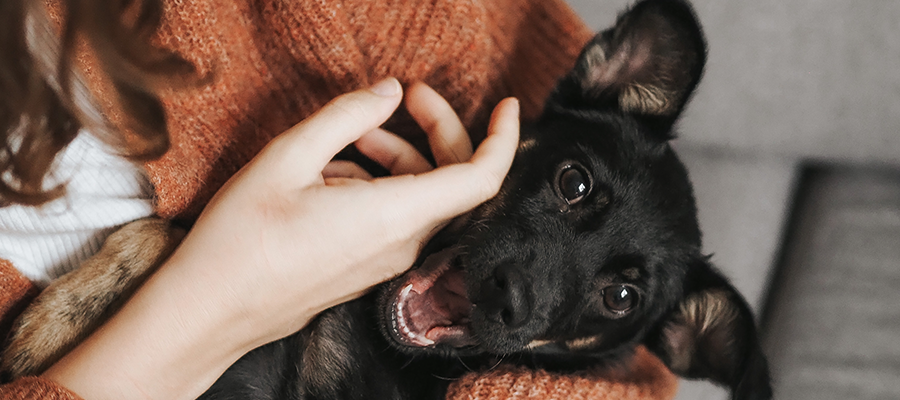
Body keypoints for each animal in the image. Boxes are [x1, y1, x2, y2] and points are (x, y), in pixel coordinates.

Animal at [1, 1, 772, 398]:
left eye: (621, 299)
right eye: (573, 181)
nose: (508, 299)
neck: (372, 337)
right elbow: (161, 230)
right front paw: (58, 317)